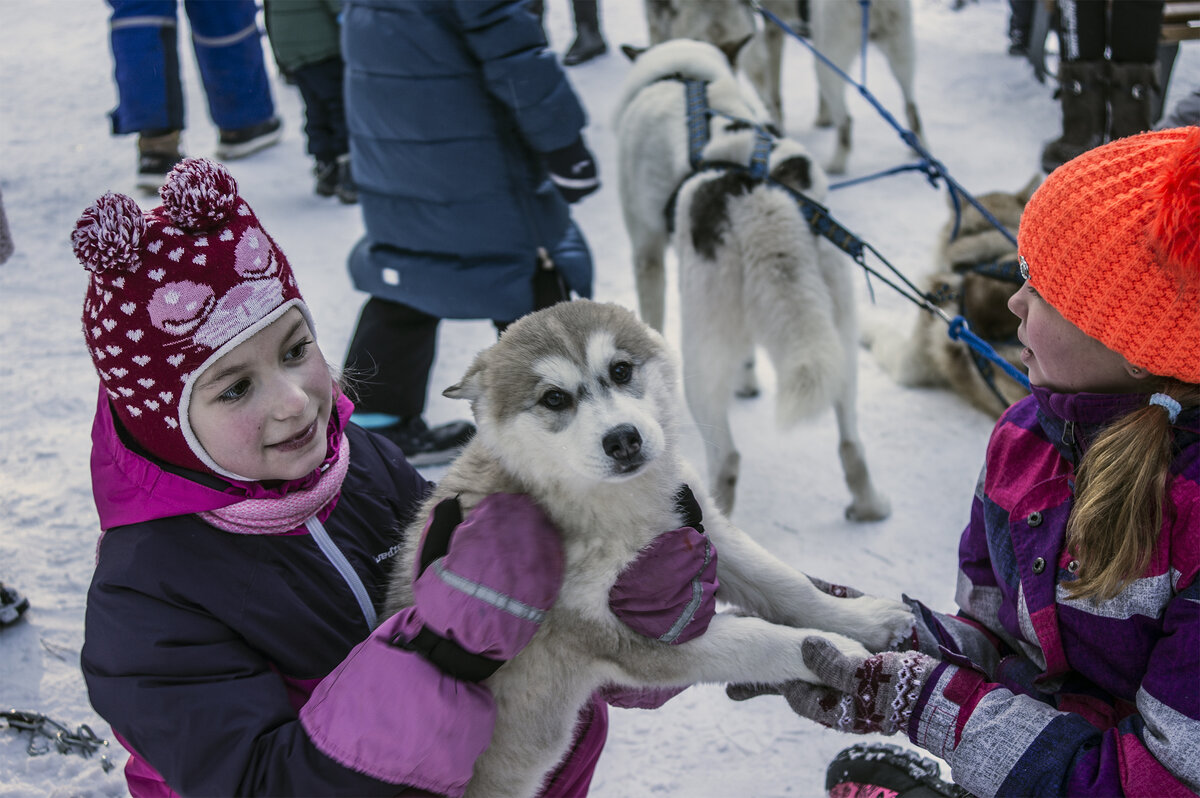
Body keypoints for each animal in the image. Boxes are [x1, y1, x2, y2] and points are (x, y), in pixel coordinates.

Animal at [384, 300, 907, 796]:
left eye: (620, 370)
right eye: (554, 398)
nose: (622, 440)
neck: (617, 512)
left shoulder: (704, 529)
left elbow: (790, 588)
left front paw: (869, 620)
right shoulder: (628, 640)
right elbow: (758, 638)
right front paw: (835, 653)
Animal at [614, 37, 888, 516]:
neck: (686, 77)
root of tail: (755, 198)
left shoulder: (646, 252)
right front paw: (748, 379)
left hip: (701, 355)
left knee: (728, 458)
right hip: (839, 334)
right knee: (850, 439)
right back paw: (869, 502)